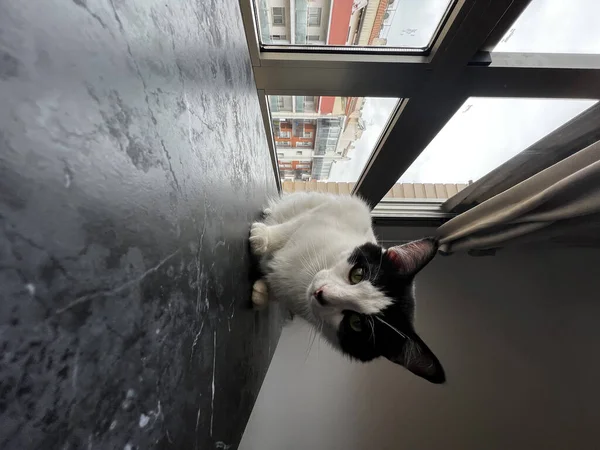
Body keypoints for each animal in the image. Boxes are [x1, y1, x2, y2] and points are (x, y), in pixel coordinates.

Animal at [250, 192, 446, 384]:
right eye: (358, 274)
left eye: (356, 322)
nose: (320, 293)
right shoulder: (332, 213)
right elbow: (293, 227)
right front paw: (263, 237)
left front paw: (262, 292)